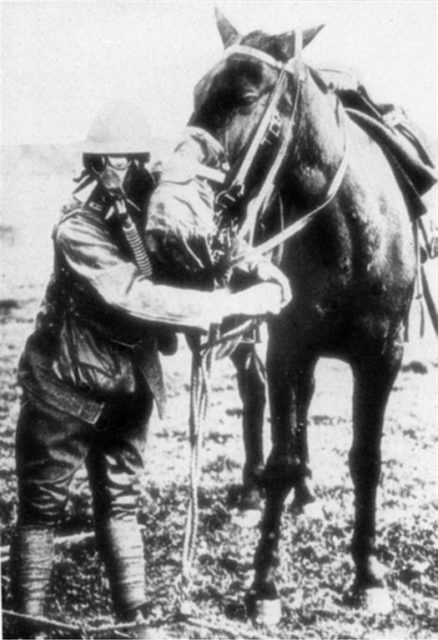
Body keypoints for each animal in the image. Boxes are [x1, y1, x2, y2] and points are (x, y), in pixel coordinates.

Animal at [179, 7, 420, 624]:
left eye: (244, 95)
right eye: (198, 91)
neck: (350, 236)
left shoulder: (383, 356)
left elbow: (367, 458)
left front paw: (368, 575)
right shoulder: (289, 347)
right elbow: (283, 456)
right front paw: (264, 586)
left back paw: (306, 497)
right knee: (257, 396)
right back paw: (250, 491)